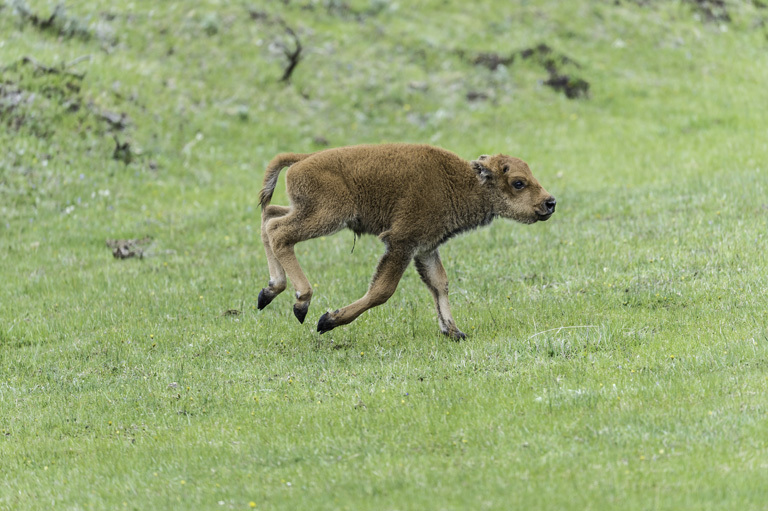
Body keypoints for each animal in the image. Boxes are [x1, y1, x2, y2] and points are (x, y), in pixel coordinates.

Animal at [256, 143, 552, 340]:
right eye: (518, 182)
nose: (550, 203)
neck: (461, 181)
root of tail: (302, 159)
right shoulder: (402, 243)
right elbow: (382, 290)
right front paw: (328, 320)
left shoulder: (425, 248)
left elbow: (439, 284)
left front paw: (454, 331)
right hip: (327, 217)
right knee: (279, 232)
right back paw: (301, 302)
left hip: (306, 211)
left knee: (269, 217)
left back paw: (269, 292)